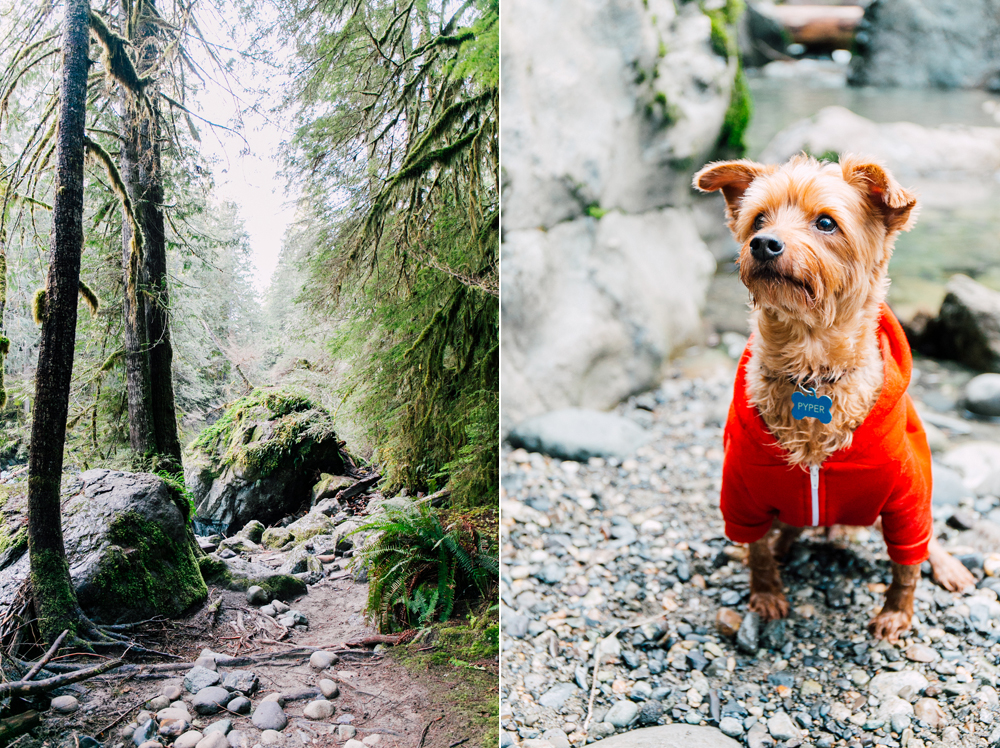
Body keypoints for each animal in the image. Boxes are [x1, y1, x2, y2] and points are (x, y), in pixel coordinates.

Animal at [696, 155, 968, 640]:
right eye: (757, 220)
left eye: (826, 222)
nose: (763, 244)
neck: (812, 372)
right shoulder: (742, 494)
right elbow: (756, 551)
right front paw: (766, 594)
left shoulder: (907, 496)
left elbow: (908, 562)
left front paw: (896, 613)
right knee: (786, 529)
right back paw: (783, 544)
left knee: (926, 541)